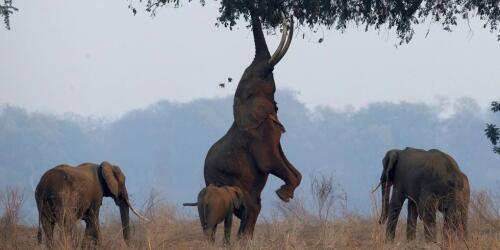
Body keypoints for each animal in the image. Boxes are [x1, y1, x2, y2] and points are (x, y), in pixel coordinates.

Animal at [202, 8, 300, 238]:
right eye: (261, 75)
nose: (288, 16)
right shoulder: (256, 135)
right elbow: (268, 161)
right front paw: (284, 194)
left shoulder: (271, 126)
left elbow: (284, 161)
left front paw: (285, 192)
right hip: (230, 182)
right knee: (251, 209)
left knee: (254, 209)